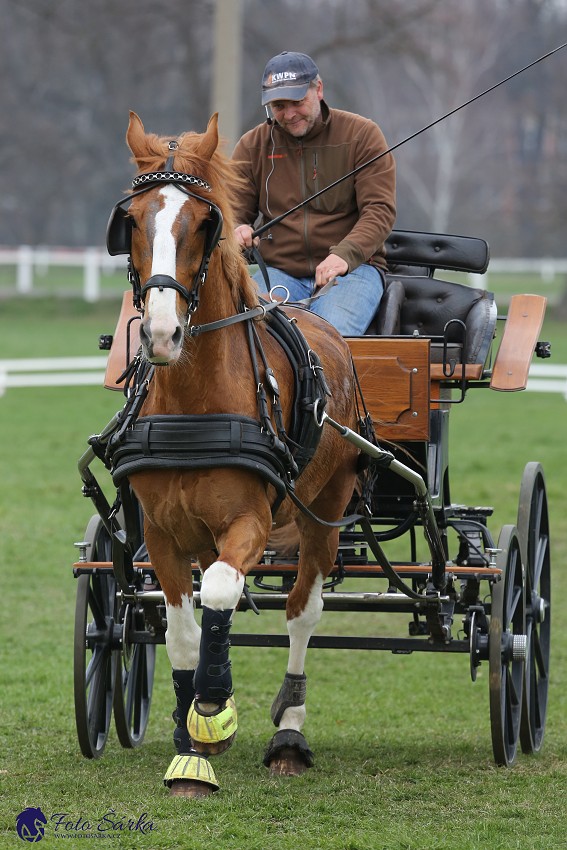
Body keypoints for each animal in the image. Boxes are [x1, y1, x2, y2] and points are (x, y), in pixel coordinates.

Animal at [112, 112, 360, 796]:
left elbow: (223, 590)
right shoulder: (162, 534)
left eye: (203, 222)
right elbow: (180, 631)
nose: (162, 334)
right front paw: (188, 750)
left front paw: (213, 709)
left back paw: (289, 737)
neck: (194, 403)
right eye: (132, 220)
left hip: (325, 508)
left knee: (303, 611)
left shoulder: (248, 522)